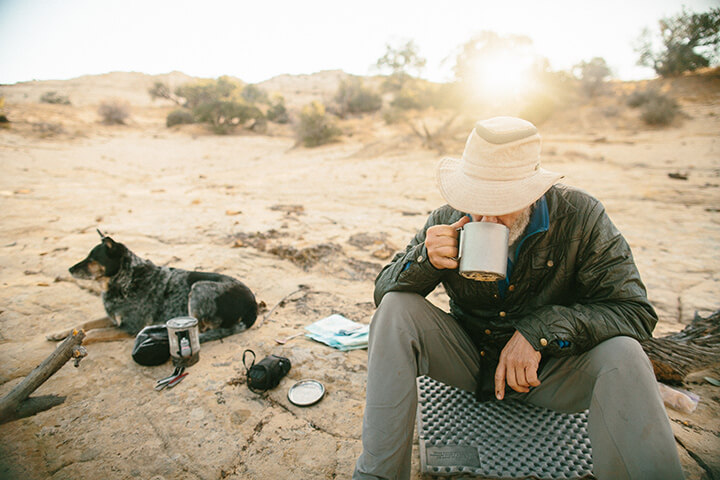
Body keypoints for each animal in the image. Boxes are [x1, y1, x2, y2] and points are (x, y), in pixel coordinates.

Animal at [47, 232, 258, 344]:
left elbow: (91, 333)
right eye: (87, 257)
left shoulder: (129, 327)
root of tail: (253, 305)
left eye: (92, 259)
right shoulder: (113, 319)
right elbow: (84, 325)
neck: (126, 279)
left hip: (199, 287)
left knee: (199, 330)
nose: (69, 269)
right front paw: (59, 333)